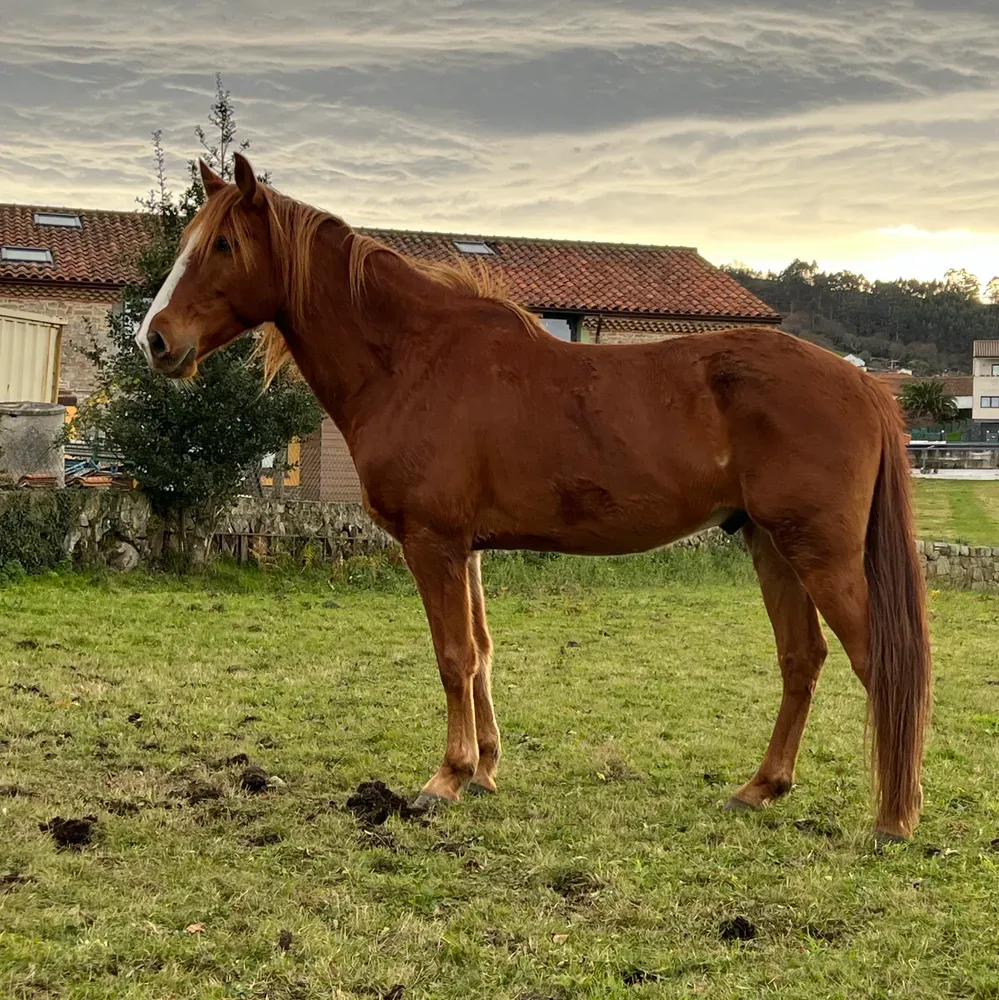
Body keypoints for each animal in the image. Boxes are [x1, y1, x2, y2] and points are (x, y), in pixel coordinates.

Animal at [136, 153, 931, 843]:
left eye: (224, 244)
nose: (155, 340)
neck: (411, 359)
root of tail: (862, 383)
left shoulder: (432, 543)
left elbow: (453, 655)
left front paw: (447, 777)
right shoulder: (467, 549)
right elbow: (482, 652)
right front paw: (484, 770)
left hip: (818, 553)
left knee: (877, 662)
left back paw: (893, 819)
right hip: (770, 544)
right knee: (801, 659)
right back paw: (761, 788)